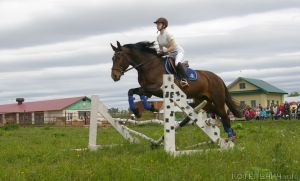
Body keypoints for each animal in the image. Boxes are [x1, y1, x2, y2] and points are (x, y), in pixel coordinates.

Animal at [110, 40, 241, 138]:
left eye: (119, 57)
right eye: (112, 58)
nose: (114, 76)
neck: (148, 65)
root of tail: (217, 77)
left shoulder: (157, 89)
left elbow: (140, 93)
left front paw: (149, 108)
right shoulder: (148, 91)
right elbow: (131, 91)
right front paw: (138, 111)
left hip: (217, 99)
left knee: (223, 114)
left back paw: (230, 136)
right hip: (203, 101)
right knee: (217, 112)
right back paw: (231, 133)